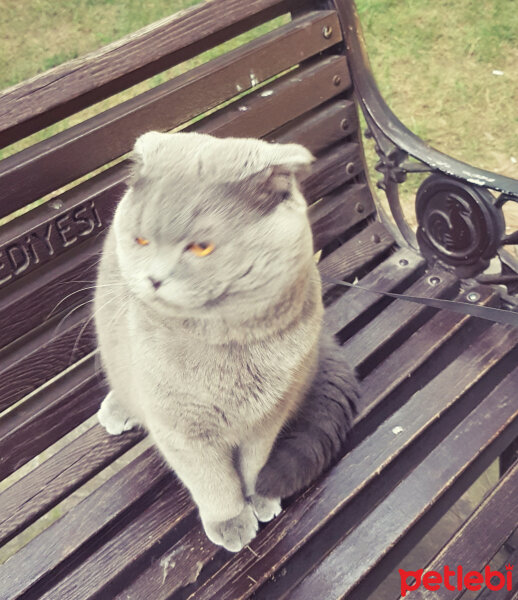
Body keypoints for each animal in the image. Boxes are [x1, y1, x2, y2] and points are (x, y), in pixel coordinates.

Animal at [95, 131, 360, 552]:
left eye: (201, 247)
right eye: (141, 241)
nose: (153, 279)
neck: (232, 348)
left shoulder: (268, 418)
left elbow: (254, 465)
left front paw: (259, 498)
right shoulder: (182, 430)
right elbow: (212, 481)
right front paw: (231, 521)